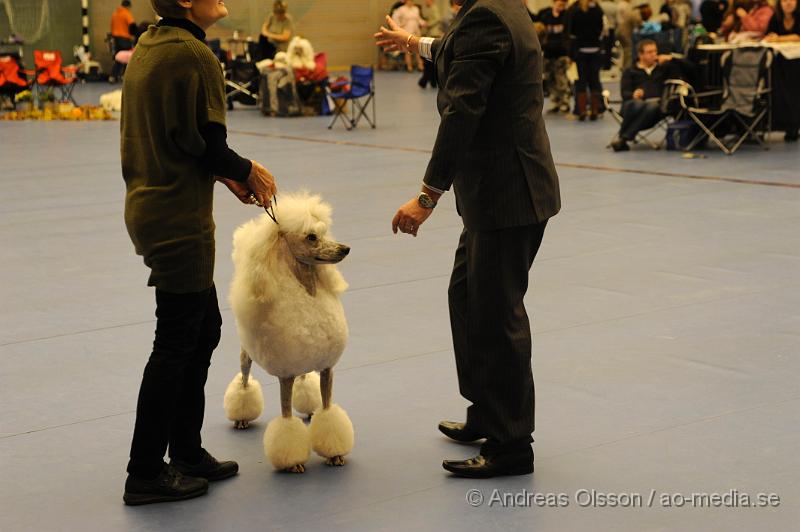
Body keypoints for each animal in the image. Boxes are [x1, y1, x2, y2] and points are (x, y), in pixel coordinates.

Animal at [222, 192, 354, 474]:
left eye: (324, 232)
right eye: (311, 237)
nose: (345, 249)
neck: (307, 291)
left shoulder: (326, 368)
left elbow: (328, 408)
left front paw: (334, 454)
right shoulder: (286, 375)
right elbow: (286, 420)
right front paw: (293, 462)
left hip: (303, 364)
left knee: (304, 382)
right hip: (247, 355)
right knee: (244, 379)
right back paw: (241, 417)